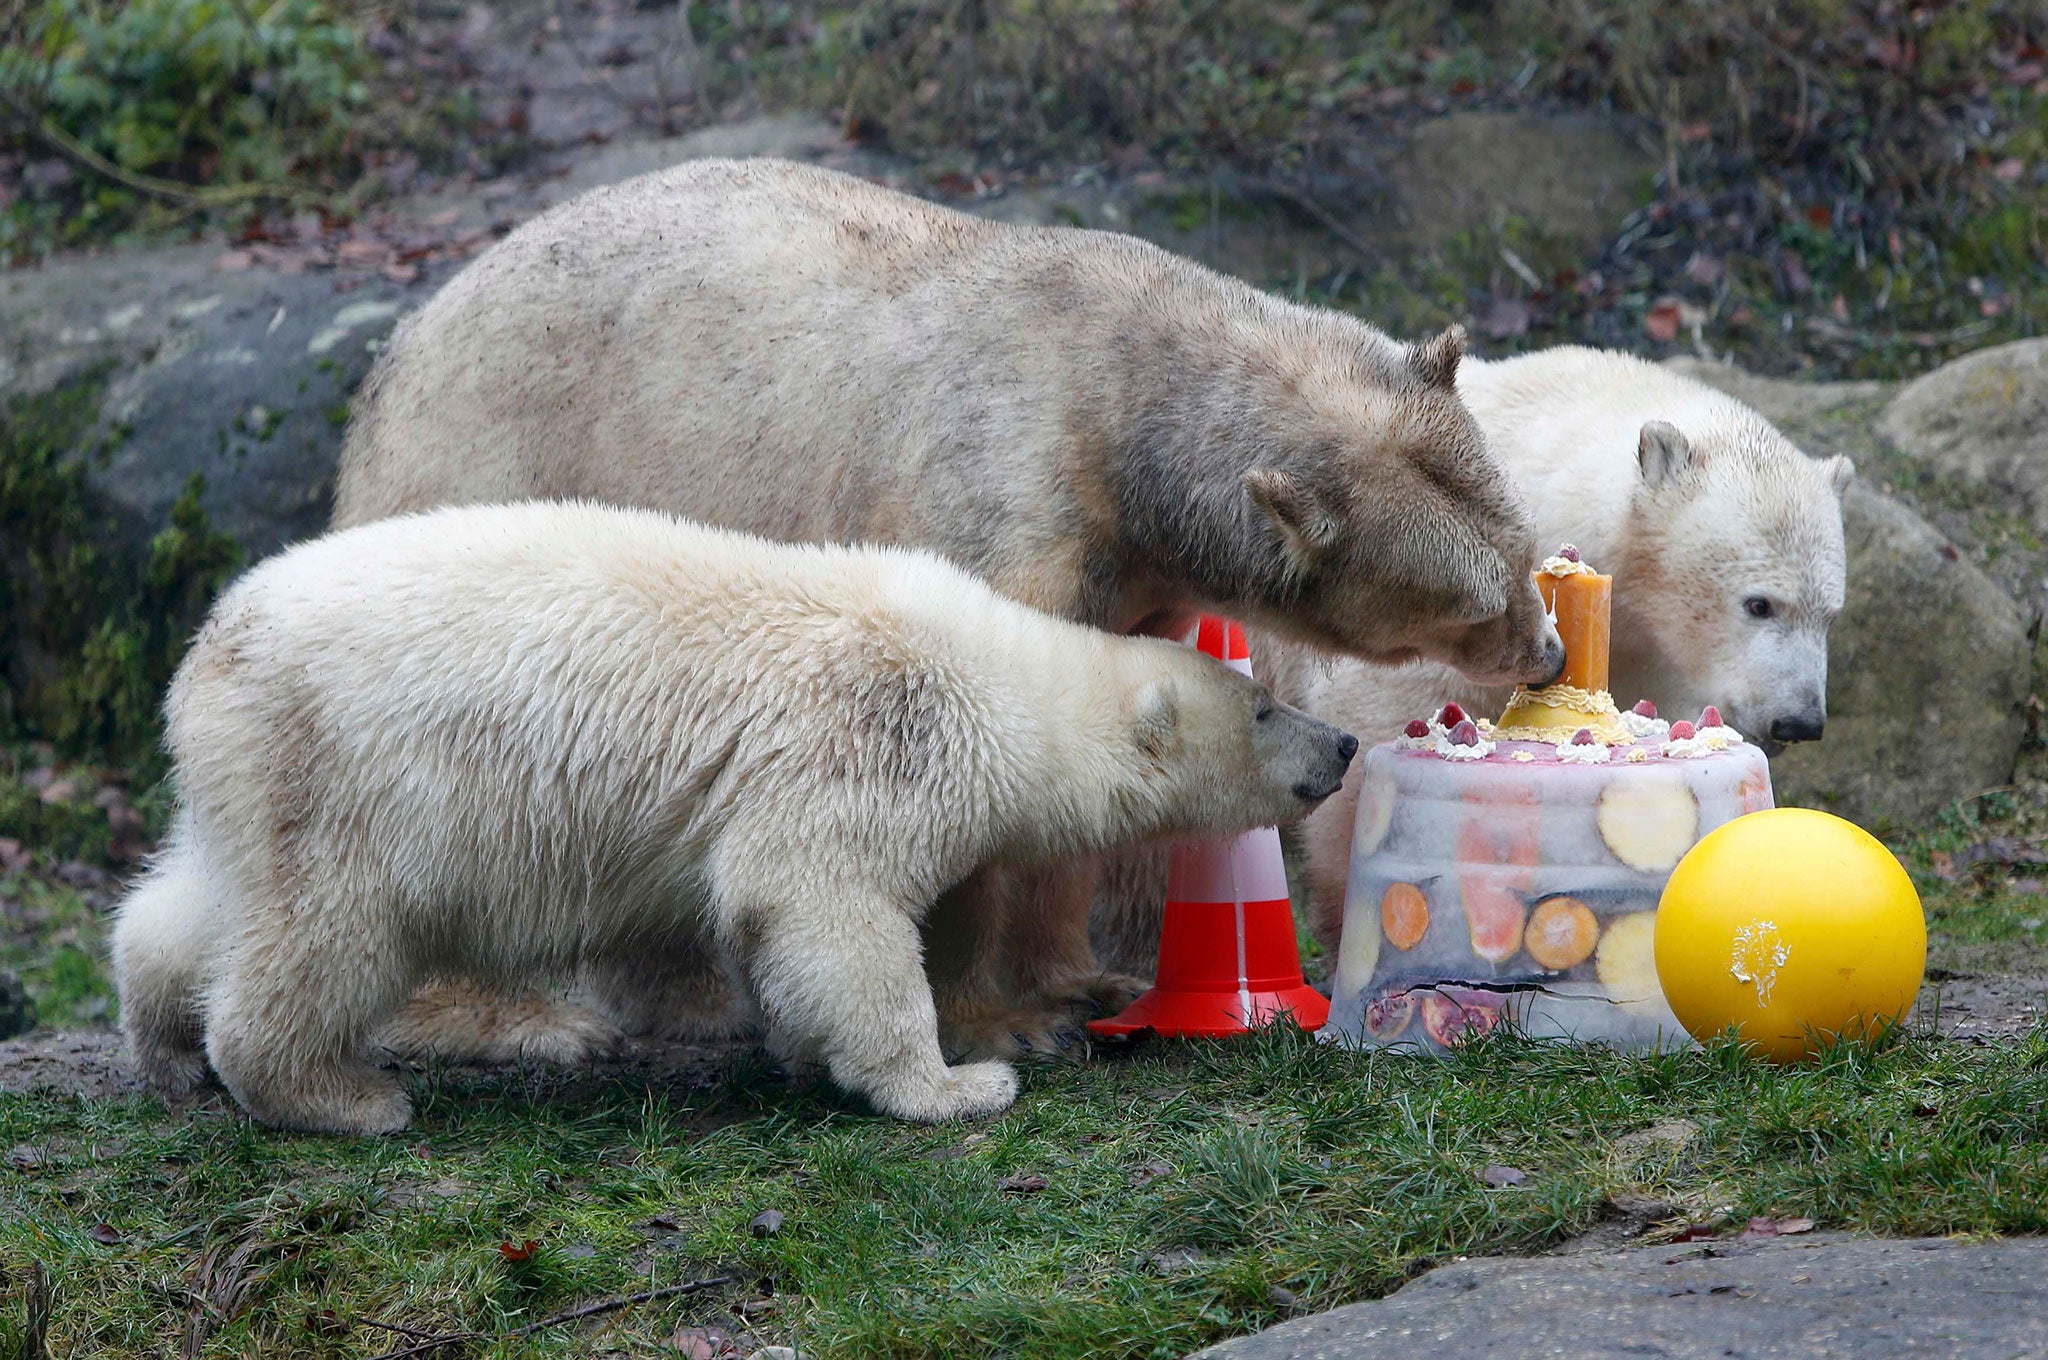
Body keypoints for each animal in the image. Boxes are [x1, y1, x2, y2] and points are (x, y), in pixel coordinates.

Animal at [112, 503, 1359, 1130]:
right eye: (1261, 703)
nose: (1342, 746)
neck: (987, 672)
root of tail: (210, 649)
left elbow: (774, 935)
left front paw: (807, 1054)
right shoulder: (856, 742)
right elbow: (827, 907)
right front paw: (956, 1083)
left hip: (257, 773)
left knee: (203, 900)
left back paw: (170, 1044)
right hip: (359, 778)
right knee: (330, 933)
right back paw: (340, 1096)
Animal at [331, 153, 1548, 1056]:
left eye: (1522, 544)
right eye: (1467, 600)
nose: (1542, 654)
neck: (1117, 396)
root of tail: (398, 351)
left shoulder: (1130, 575)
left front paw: (1085, 983)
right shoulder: (1000, 503)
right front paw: (1003, 1020)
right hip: (484, 477)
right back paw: (504, 1019)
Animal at [1089, 346, 1859, 970]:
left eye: (1830, 611)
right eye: (1758, 604)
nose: (1799, 721)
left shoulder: (1649, 652)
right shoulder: (1434, 607)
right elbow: (1373, 753)